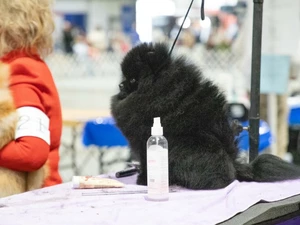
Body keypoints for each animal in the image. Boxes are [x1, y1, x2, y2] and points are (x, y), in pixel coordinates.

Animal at [110, 42, 300, 190]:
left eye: (132, 79)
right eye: (124, 77)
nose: (120, 85)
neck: (156, 89)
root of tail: (235, 166)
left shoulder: (143, 140)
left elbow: (145, 162)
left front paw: (143, 180)